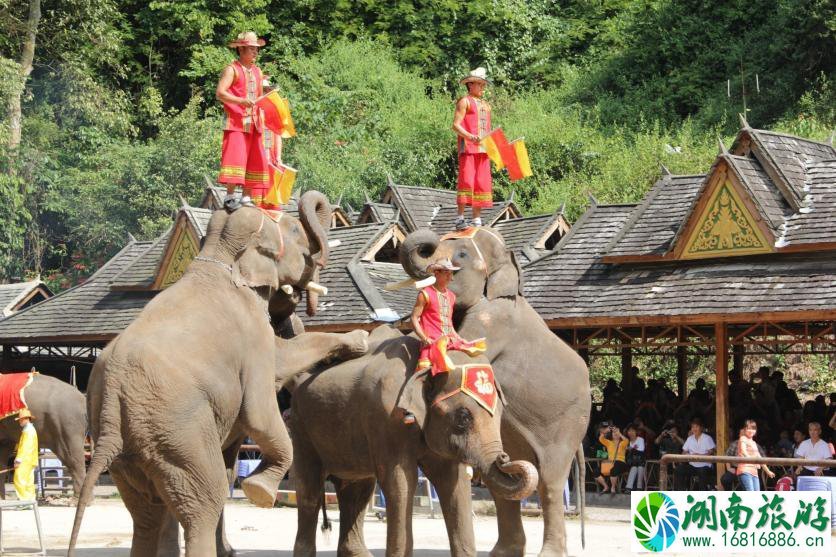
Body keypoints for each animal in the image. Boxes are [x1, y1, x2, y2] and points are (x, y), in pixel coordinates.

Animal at [67, 192, 358, 556]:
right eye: (293, 232)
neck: (219, 250)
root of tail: (111, 402)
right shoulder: (251, 337)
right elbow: (262, 405)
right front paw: (260, 490)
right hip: (179, 431)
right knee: (204, 499)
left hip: (131, 451)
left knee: (147, 513)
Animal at [286, 326, 536, 556]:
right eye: (463, 418)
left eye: (502, 413)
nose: (504, 457)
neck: (423, 363)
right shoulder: (386, 420)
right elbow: (401, 482)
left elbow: (454, 483)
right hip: (301, 429)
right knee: (309, 490)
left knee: (356, 491)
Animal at [396, 226, 588, 556]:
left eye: (461, 254)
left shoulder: (495, 319)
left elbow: (466, 348)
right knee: (504, 479)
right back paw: (504, 551)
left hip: (571, 422)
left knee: (550, 482)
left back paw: (548, 552)